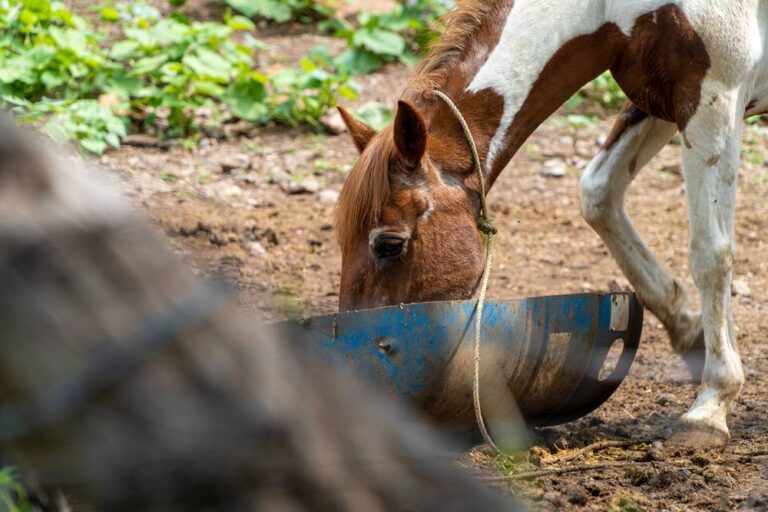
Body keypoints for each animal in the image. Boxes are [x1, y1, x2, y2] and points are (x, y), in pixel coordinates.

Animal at [335, 0, 767, 449]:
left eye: (389, 244)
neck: (615, 11)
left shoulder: (712, 101)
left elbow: (711, 253)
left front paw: (711, 405)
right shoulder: (661, 101)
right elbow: (597, 193)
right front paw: (688, 328)